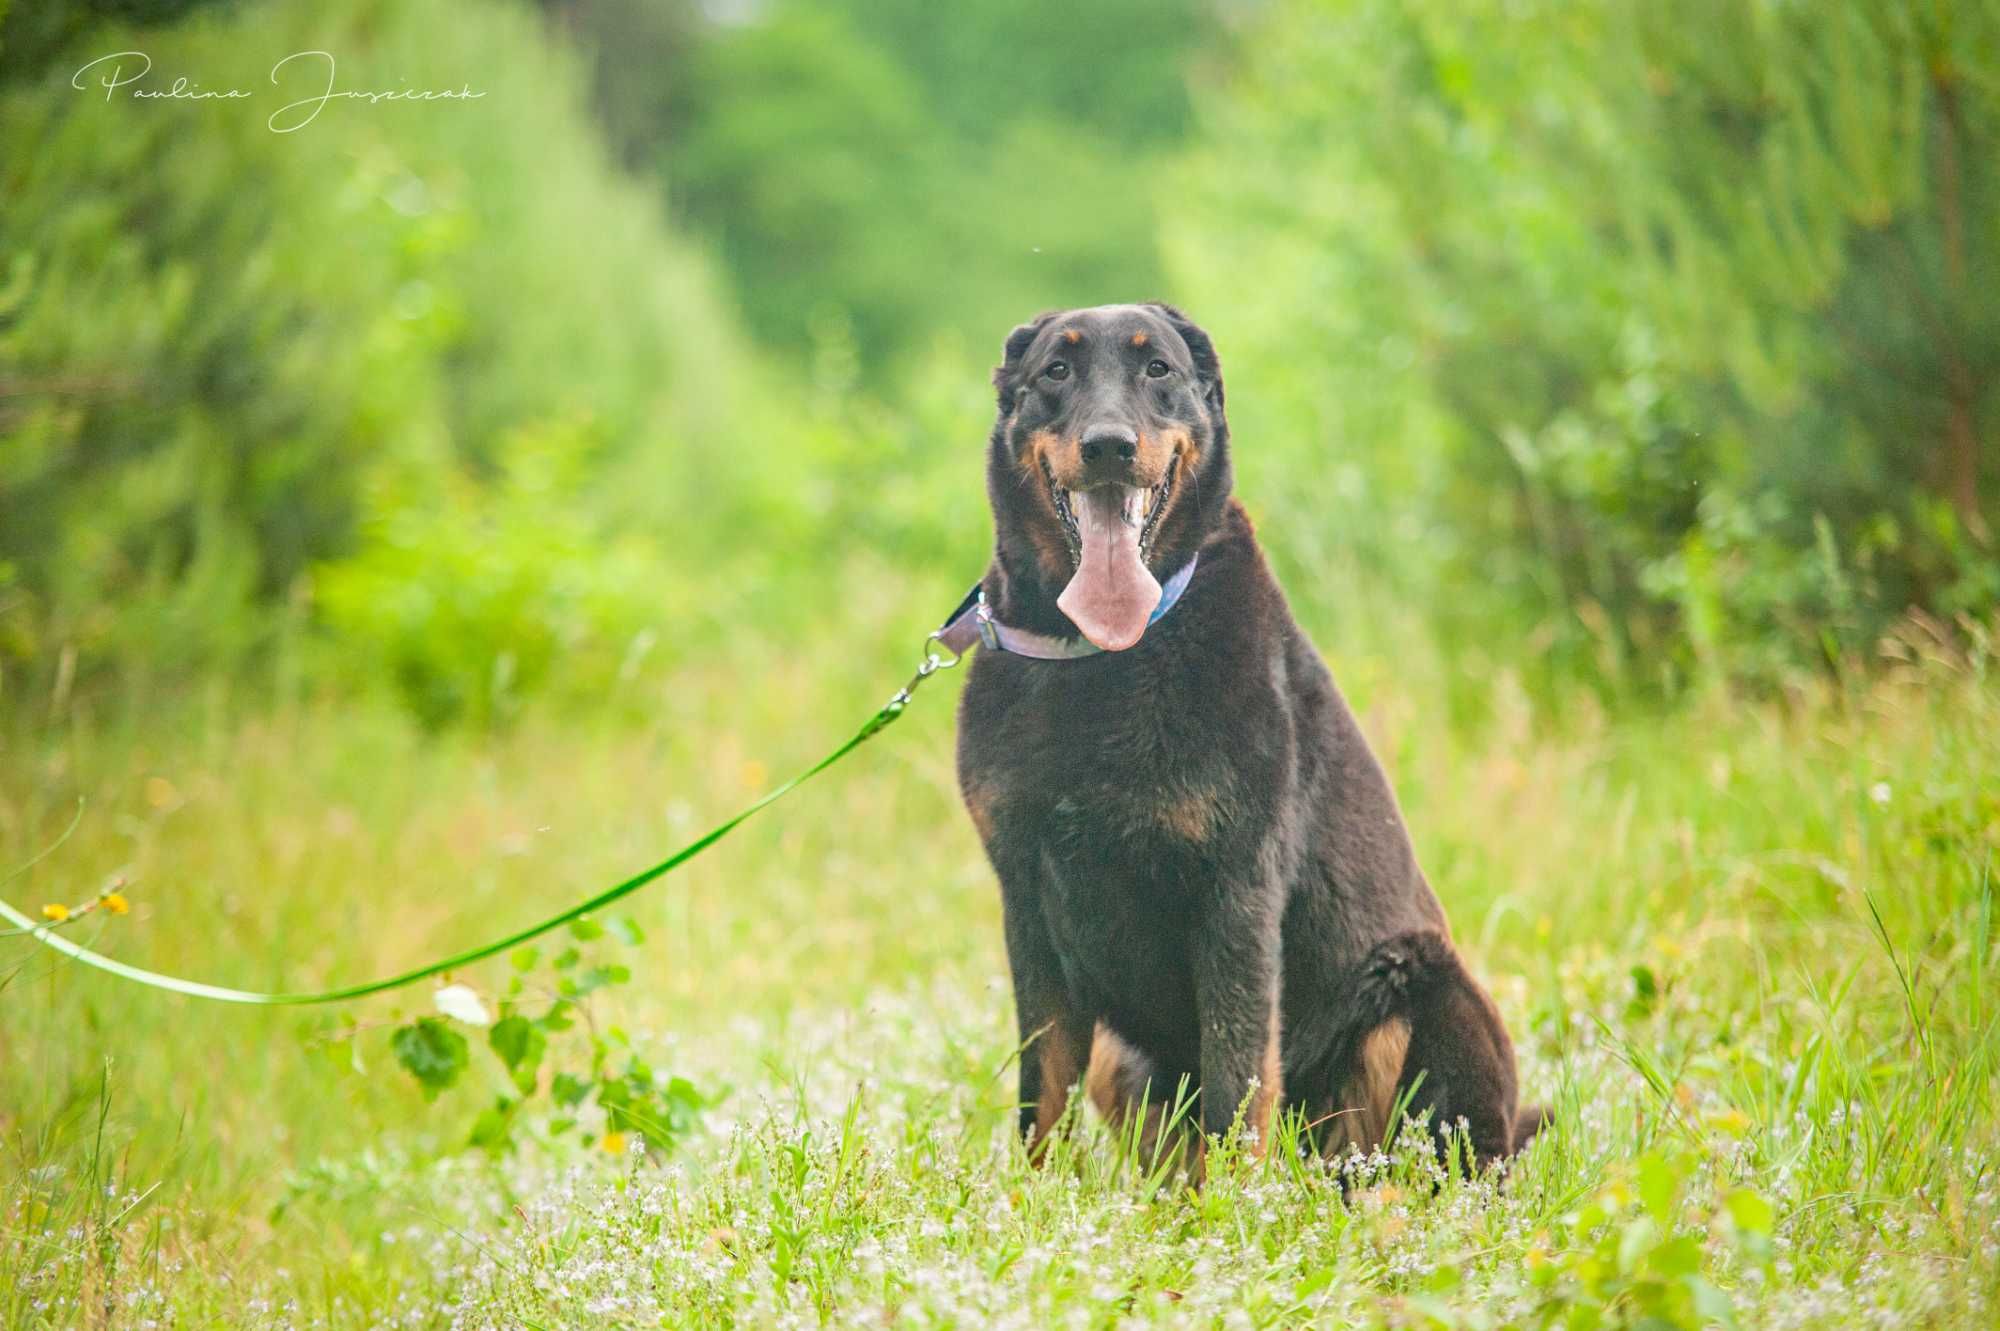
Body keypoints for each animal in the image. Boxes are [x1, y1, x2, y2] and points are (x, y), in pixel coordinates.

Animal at [952, 303, 1544, 1175]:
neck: (1104, 654)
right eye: (1055, 371)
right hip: (1122, 1056)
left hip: (1428, 984)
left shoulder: (1235, 890)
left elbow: (1237, 1085)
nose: (1108, 445)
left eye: (1158, 369)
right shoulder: (1027, 901)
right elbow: (1042, 1091)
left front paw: (1230, 1203)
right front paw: (1035, 1200)